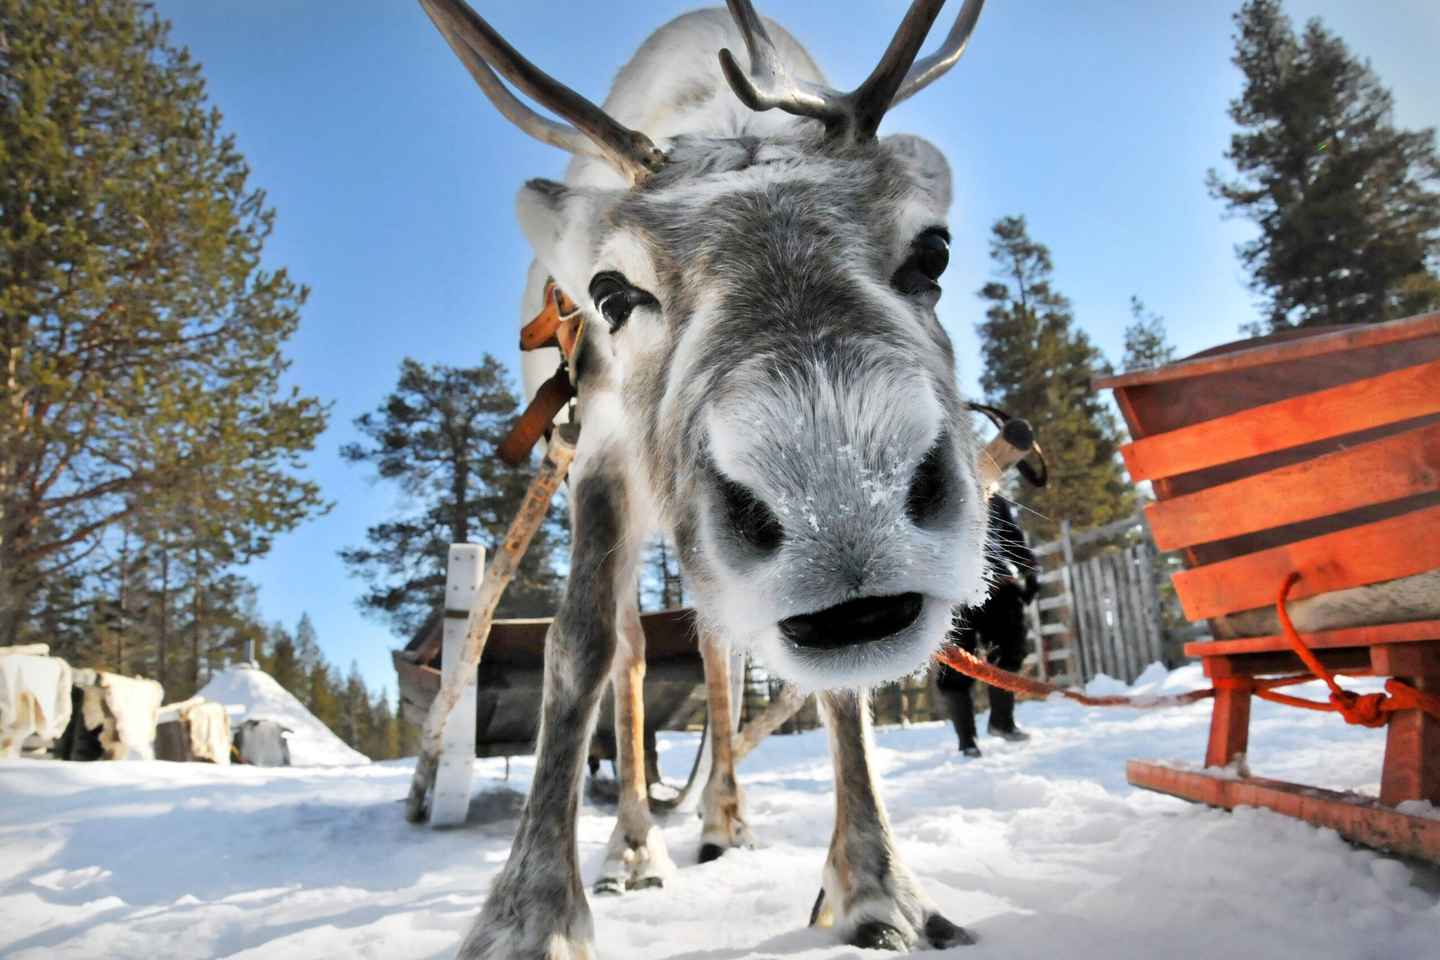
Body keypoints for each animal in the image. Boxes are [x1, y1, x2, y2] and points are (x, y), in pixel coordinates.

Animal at [416, 0, 993, 955]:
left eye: (934, 252)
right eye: (612, 292)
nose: (842, 508)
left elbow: (840, 695)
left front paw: (880, 890)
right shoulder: (600, 451)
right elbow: (579, 649)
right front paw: (527, 913)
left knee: (721, 654)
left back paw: (724, 818)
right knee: (636, 652)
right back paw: (633, 848)